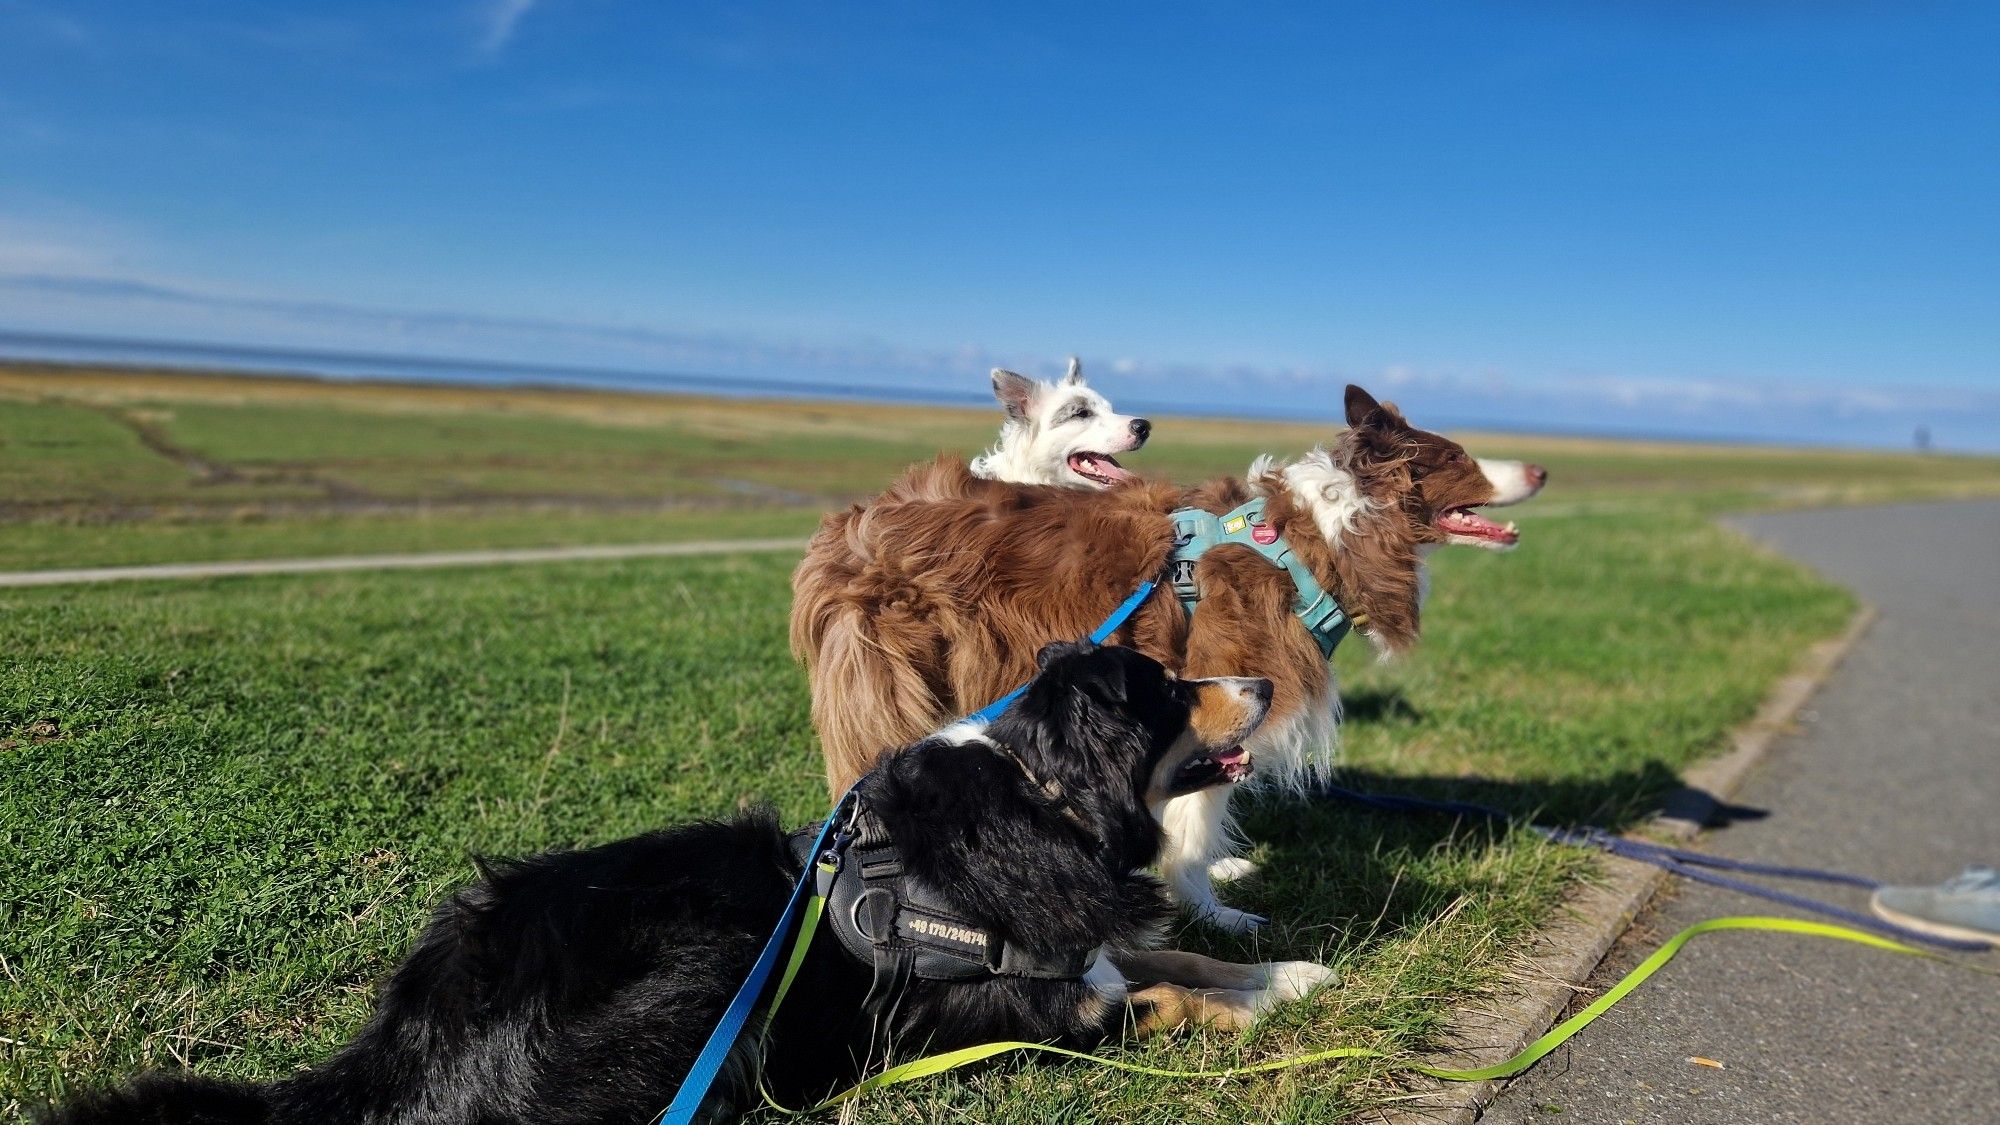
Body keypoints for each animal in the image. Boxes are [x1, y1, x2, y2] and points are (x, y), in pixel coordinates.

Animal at [43, 640, 1328, 1120]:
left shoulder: (1078, 936)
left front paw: (1291, 973)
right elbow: (1144, 993)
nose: (1262, 683)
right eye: (1168, 689)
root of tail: (402, 1043)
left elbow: (1171, 948)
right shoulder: (989, 1006)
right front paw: (1255, 1005)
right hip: (705, 962)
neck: (1040, 795)